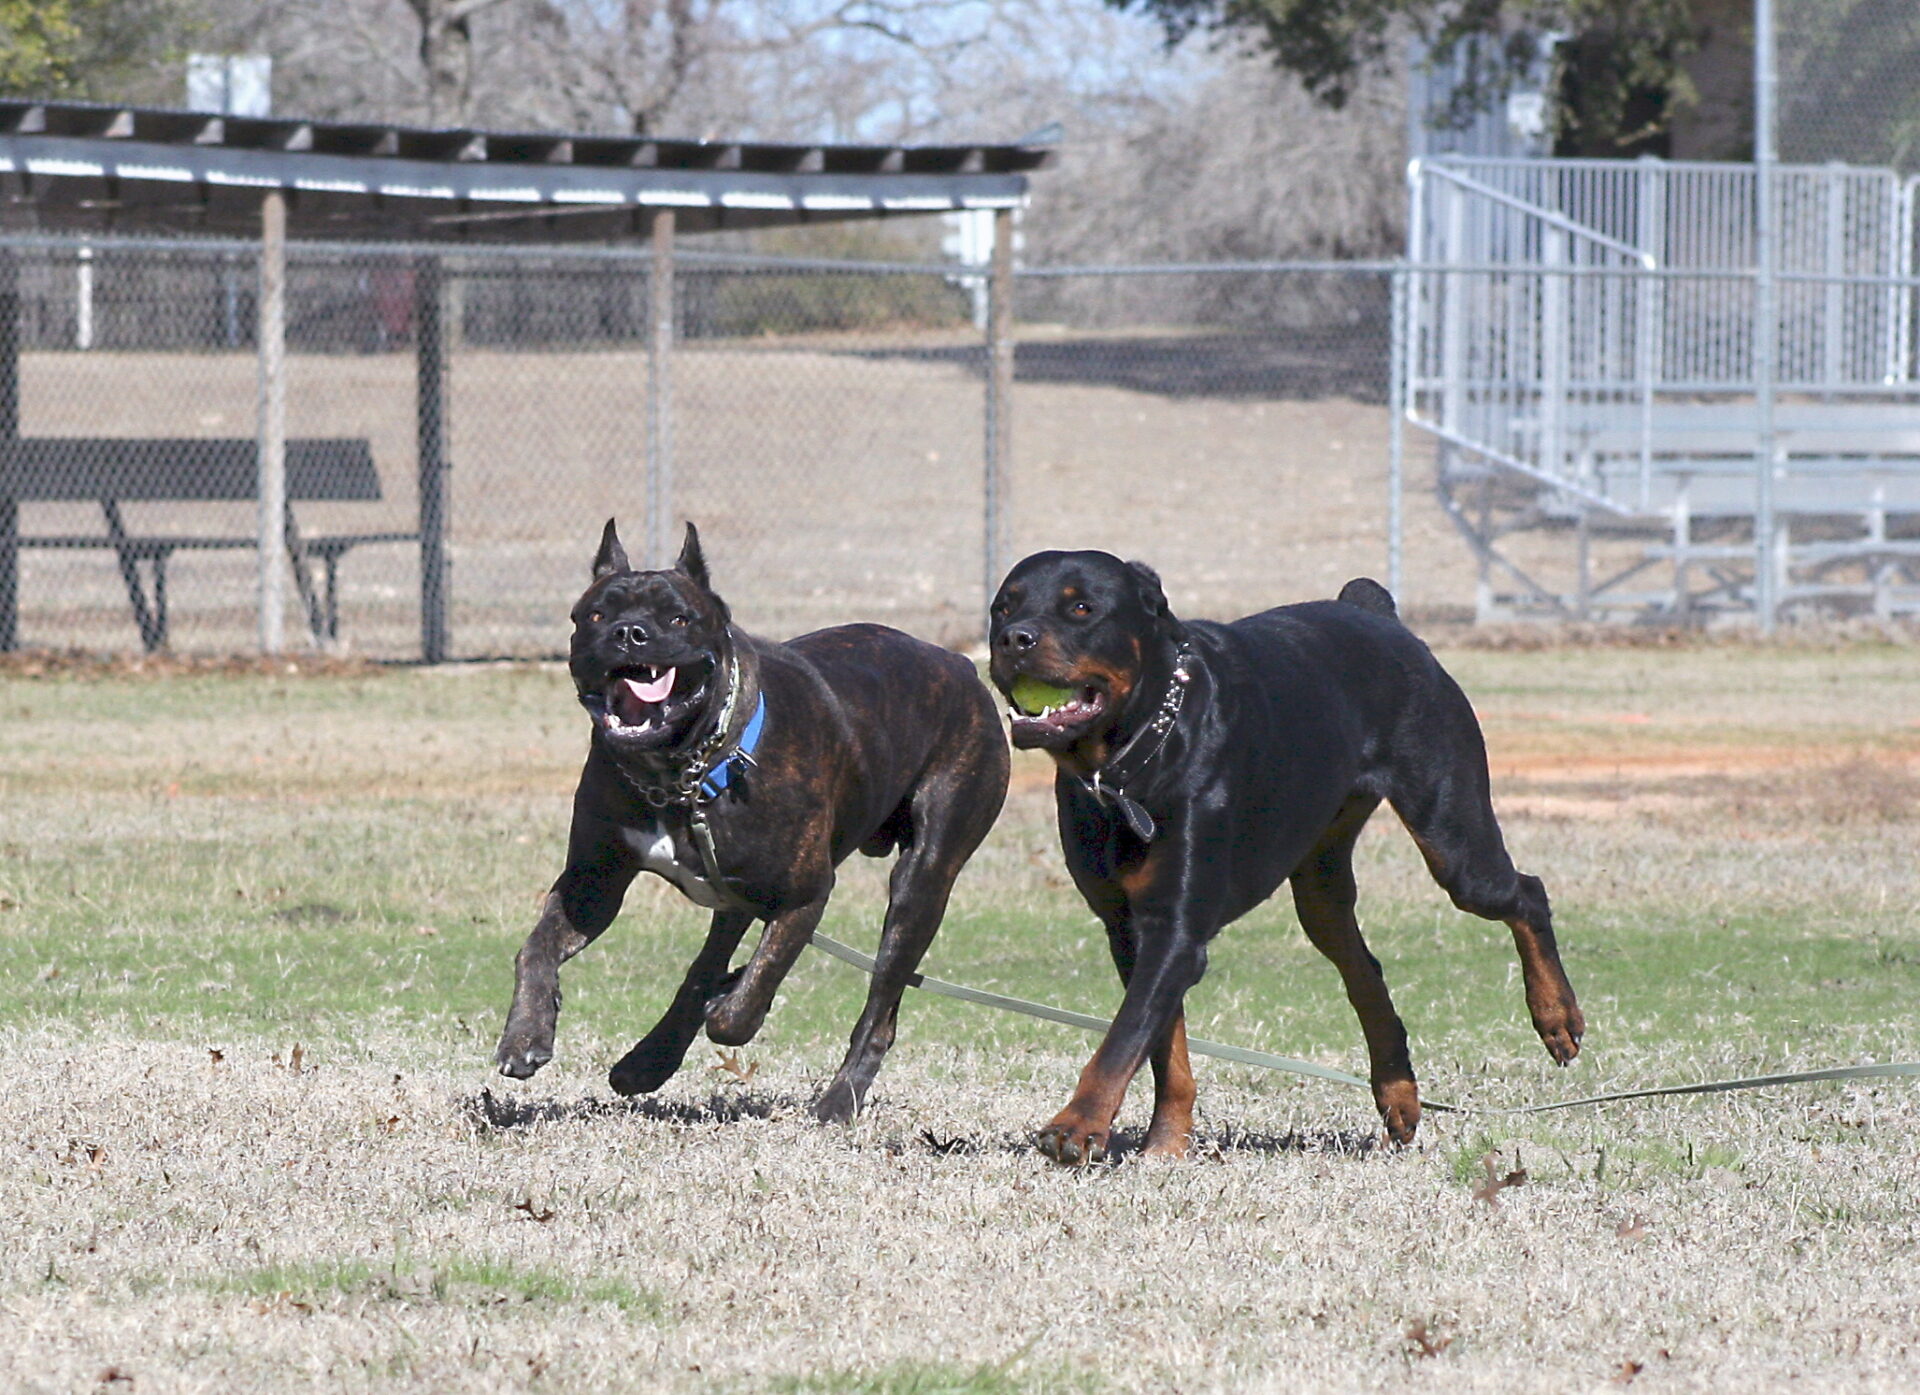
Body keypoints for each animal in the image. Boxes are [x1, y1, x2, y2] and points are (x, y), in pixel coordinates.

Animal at [495, 521, 1006, 1120]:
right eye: (596, 615)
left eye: (678, 618)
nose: (629, 633)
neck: (682, 771)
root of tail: (961, 666)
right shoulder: (593, 883)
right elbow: (537, 948)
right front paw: (525, 1036)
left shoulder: (806, 895)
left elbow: (742, 1010)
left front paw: (735, 999)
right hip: (735, 890)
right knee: (706, 965)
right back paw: (649, 1059)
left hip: (921, 881)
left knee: (879, 1008)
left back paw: (838, 1100)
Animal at [983, 552, 1582, 1158]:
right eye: (1003, 608)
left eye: (1082, 607)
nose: (1014, 639)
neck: (1135, 761)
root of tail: (1377, 615)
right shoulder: (1128, 928)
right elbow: (1163, 1048)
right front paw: (1167, 1145)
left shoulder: (1175, 928)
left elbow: (1125, 1037)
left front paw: (1076, 1126)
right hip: (1321, 883)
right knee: (1364, 967)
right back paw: (1399, 1095)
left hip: (1453, 836)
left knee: (1524, 893)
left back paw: (1557, 1016)